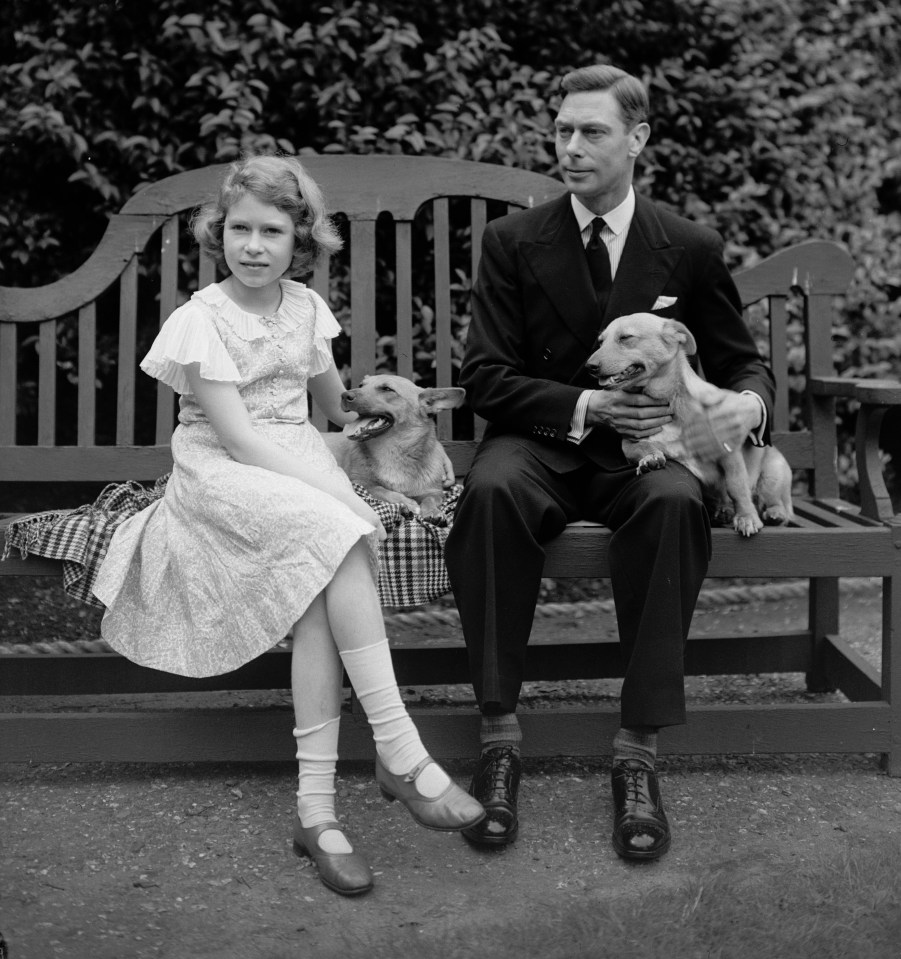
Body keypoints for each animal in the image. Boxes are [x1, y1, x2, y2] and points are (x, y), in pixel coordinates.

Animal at [324, 376, 464, 524]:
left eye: (387, 389)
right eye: (361, 385)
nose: (345, 395)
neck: (392, 452)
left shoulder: (433, 491)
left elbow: (430, 499)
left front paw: (432, 511)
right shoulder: (360, 483)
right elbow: (382, 490)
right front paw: (407, 503)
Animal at [584, 316, 788, 540]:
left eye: (626, 337)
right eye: (601, 342)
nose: (589, 366)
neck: (669, 401)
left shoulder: (729, 453)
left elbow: (737, 487)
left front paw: (747, 517)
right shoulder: (630, 443)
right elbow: (643, 448)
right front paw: (649, 459)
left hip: (773, 476)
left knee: (778, 504)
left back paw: (774, 513)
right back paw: (723, 510)